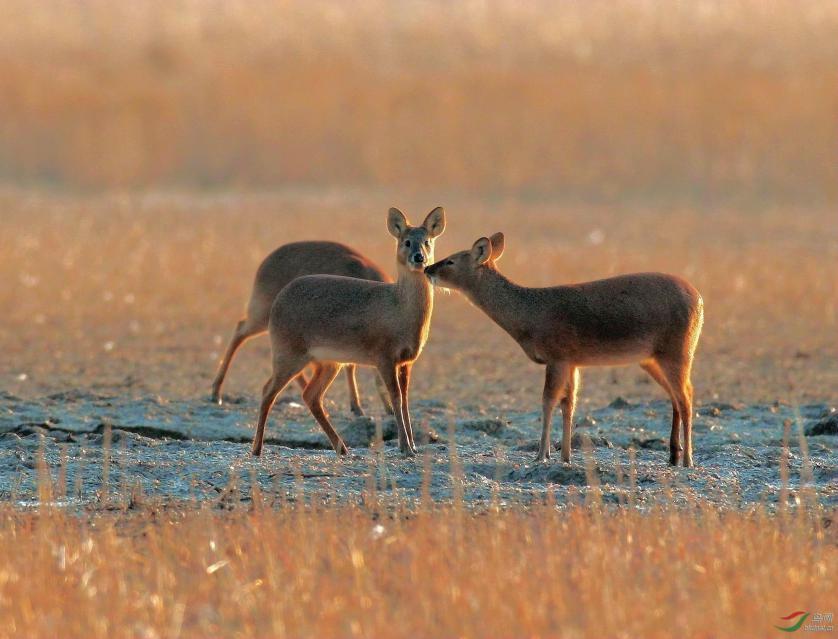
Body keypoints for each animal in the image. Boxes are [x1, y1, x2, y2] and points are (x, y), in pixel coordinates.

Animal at [210, 240, 394, 416]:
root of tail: (268, 259)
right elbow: (353, 367)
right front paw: (358, 407)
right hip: (263, 317)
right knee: (240, 331)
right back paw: (216, 393)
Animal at [249, 208, 446, 458]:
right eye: (407, 241)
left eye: (427, 241)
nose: (418, 258)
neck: (400, 308)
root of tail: (279, 298)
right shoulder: (384, 359)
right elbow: (395, 398)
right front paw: (405, 447)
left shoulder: (406, 362)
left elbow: (405, 401)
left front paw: (412, 446)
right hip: (289, 355)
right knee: (268, 391)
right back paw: (257, 449)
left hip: (328, 363)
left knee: (311, 396)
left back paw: (341, 447)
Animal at [430, 232, 704, 468]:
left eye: (451, 260)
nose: (427, 269)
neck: (528, 315)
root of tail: (699, 299)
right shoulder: (572, 361)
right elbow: (568, 403)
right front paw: (565, 456)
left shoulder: (557, 357)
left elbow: (548, 401)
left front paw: (541, 455)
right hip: (652, 359)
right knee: (677, 397)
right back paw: (673, 455)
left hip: (677, 352)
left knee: (686, 397)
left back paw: (688, 460)